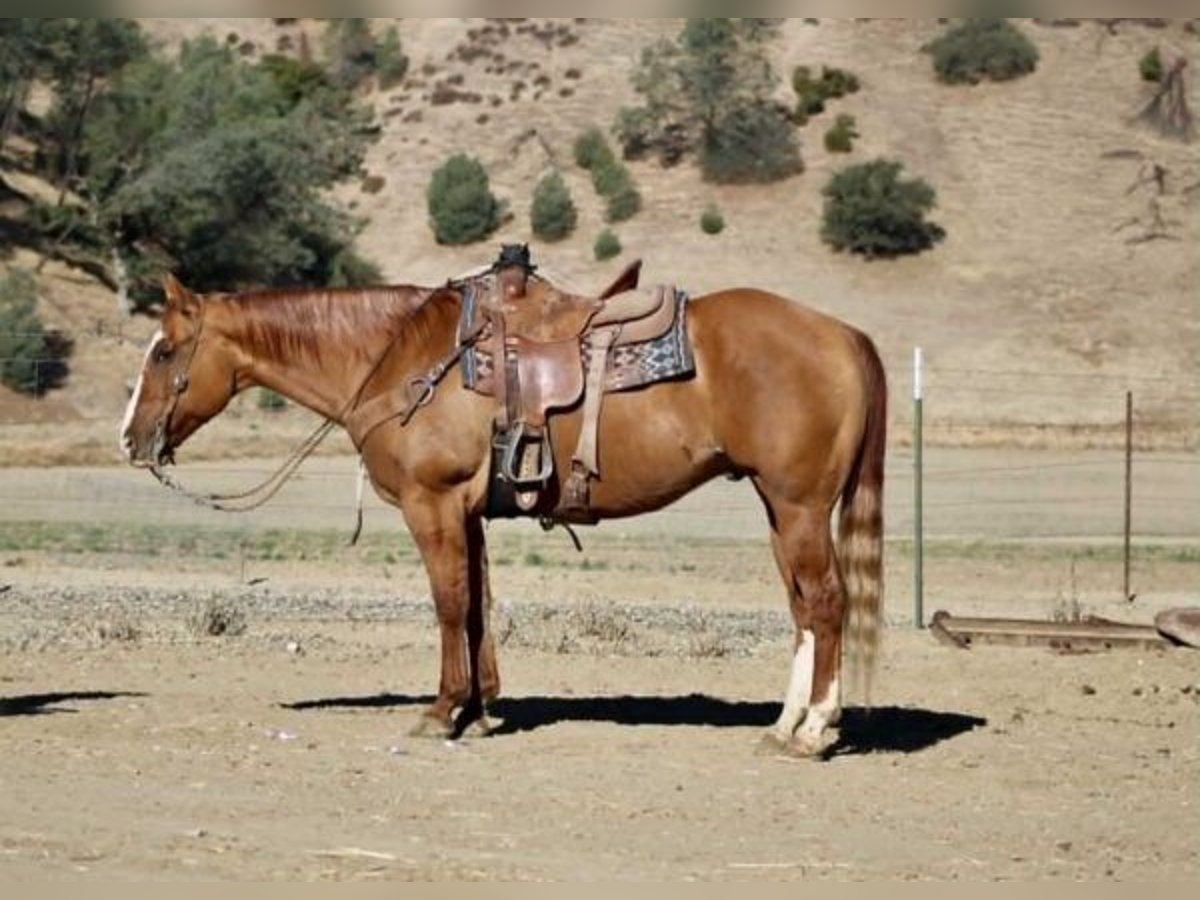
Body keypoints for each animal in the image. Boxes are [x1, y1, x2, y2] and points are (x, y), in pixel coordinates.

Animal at [120, 271, 887, 758]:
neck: (400, 359)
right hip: (779, 507)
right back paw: (784, 725)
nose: (130, 439)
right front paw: (481, 710)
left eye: (164, 351)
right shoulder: (469, 513)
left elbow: (449, 603)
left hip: (800, 506)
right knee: (803, 609)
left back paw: (814, 731)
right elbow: (479, 605)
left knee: (825, 602)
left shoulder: (433, 505)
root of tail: (846, 334)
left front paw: (441, 713)